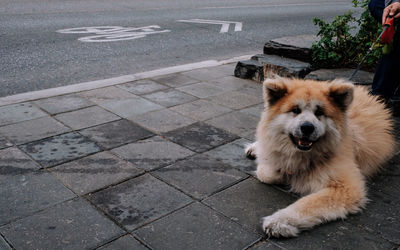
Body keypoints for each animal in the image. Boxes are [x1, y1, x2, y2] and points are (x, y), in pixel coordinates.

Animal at [245, 77, 396, 237]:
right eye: (295, 110)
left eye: (319, 112)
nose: (307, 127)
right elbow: (266, 172)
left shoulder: (346, 188)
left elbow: (307, 203)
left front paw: (280, 221)